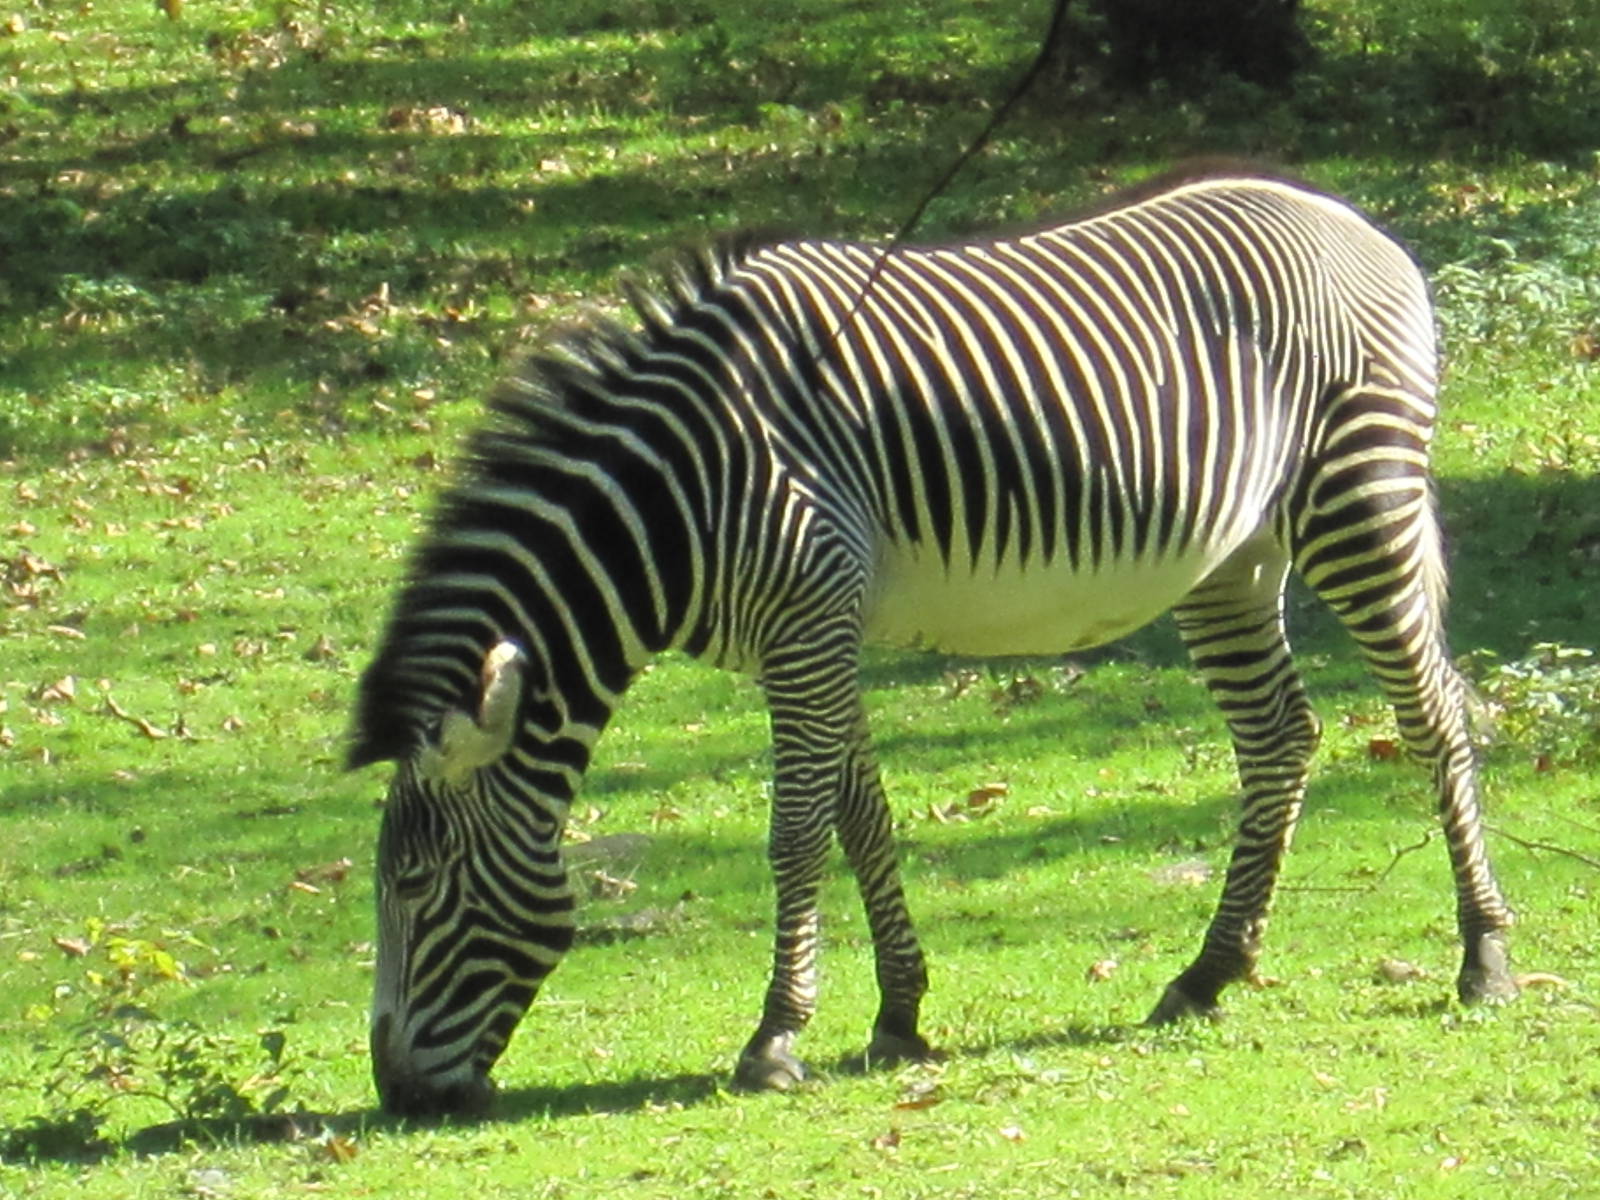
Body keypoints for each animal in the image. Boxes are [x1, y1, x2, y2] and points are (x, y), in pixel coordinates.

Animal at [348, 166, 1518, 1117]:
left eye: (414, 886)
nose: (398, 1096)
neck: (676, 495)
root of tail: (1350, 220)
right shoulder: (813, 632)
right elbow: (861, 820)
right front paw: (898, 1014)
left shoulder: (807, 620)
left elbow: (795, 834)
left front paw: (774, 1038)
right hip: (1232, 555)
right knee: (1279, 738)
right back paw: (1207, 972)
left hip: (1356, 497)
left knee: (1432, 715)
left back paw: (1484, 957)